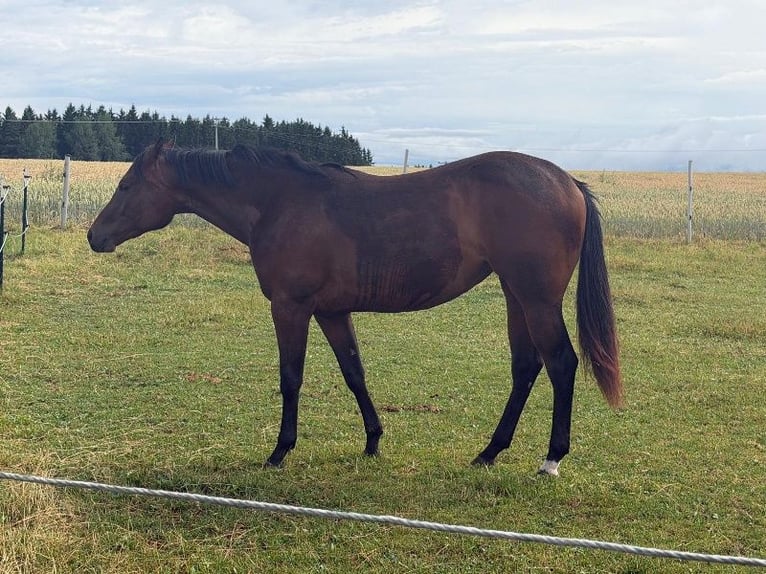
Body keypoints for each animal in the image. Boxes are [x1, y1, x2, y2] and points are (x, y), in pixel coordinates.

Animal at [88, 140, 622, 476]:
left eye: (127, 186)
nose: (95, 236)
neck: (279, 202)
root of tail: (568, 182)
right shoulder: (331, 312)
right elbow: (354, 373)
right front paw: (373, 441)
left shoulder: (291, 308)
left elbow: (291, 377)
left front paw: (280, 451)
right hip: (515, 296)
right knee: (526, 367)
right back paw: (489, 453)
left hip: (537, 300)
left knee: (561, 364)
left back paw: (551, 459)